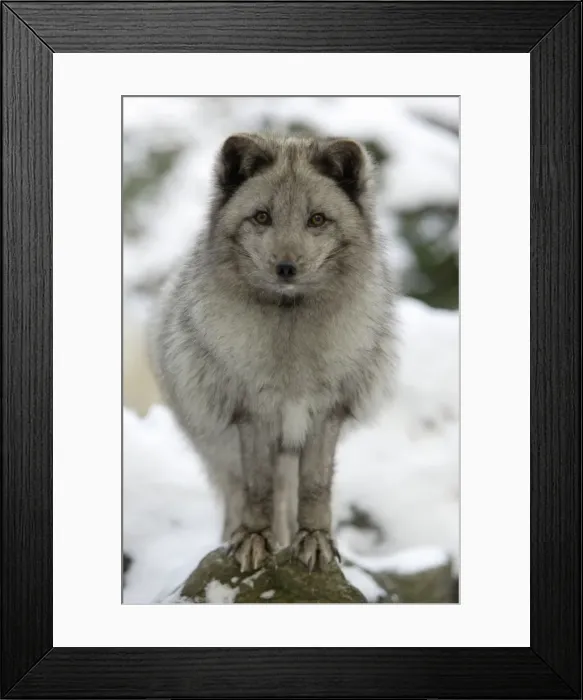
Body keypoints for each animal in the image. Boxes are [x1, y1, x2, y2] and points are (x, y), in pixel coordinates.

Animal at [149, 132, 395, 573]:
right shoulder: (253, 415)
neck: (290, 344)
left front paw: (315, 539)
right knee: (240, 493)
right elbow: (257, 489)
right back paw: (235, 537)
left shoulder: (326, 414)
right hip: (219, 448)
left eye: (317, 220)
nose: (285, 268)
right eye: (262, 217)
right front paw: (254, 540)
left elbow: (315, 489)